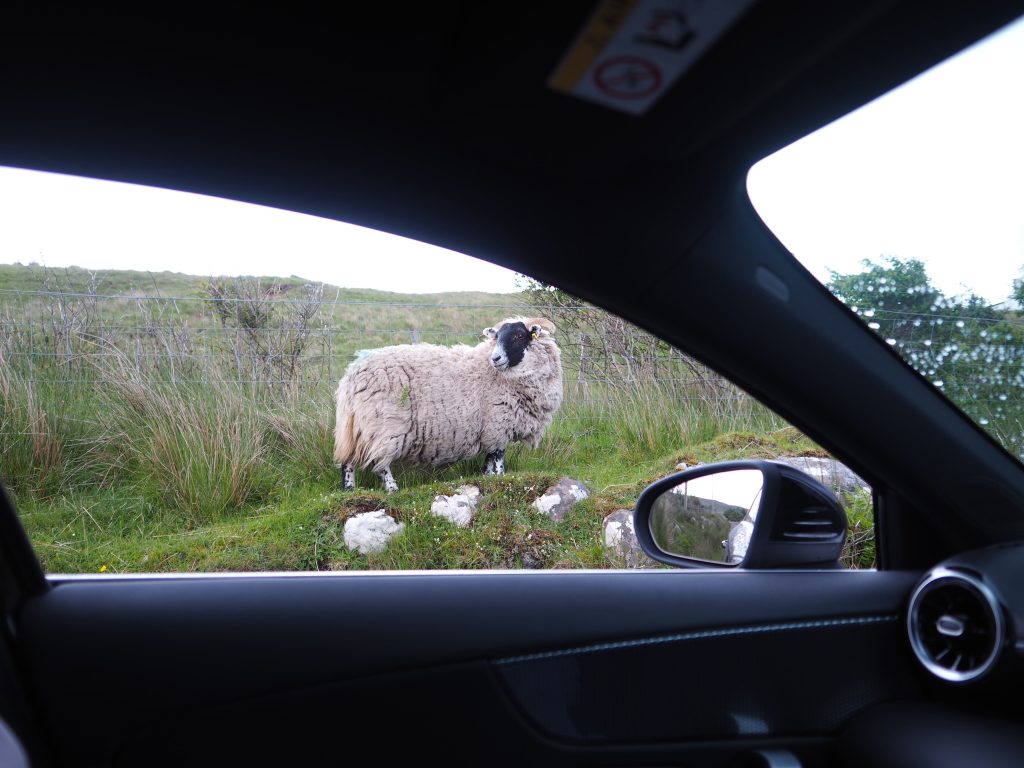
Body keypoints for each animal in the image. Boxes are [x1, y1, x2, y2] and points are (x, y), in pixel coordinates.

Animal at [333, 316, 563, 492]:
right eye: (497, 337)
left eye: (518, 336)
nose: (496, 358)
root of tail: (353, 373)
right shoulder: (498, 425)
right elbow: (498, 458)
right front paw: (499, 478)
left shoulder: (489, 430)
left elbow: (489, 461)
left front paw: (488, 478)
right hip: (384, 424)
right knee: (379, 462)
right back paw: (392, 489)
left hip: (354, 424)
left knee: (348, 459)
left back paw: (349, 489)